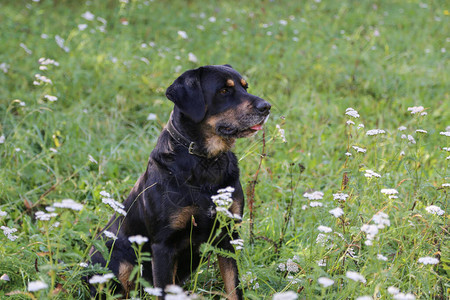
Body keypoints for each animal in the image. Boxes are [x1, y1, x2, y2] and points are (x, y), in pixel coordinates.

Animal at [89, 64, 268, 298]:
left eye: (245, 87)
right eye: (224, 91)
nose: (267, 107)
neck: (206, 161)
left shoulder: (228, 235)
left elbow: (233, 288)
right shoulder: (163, 246)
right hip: (115, 258)